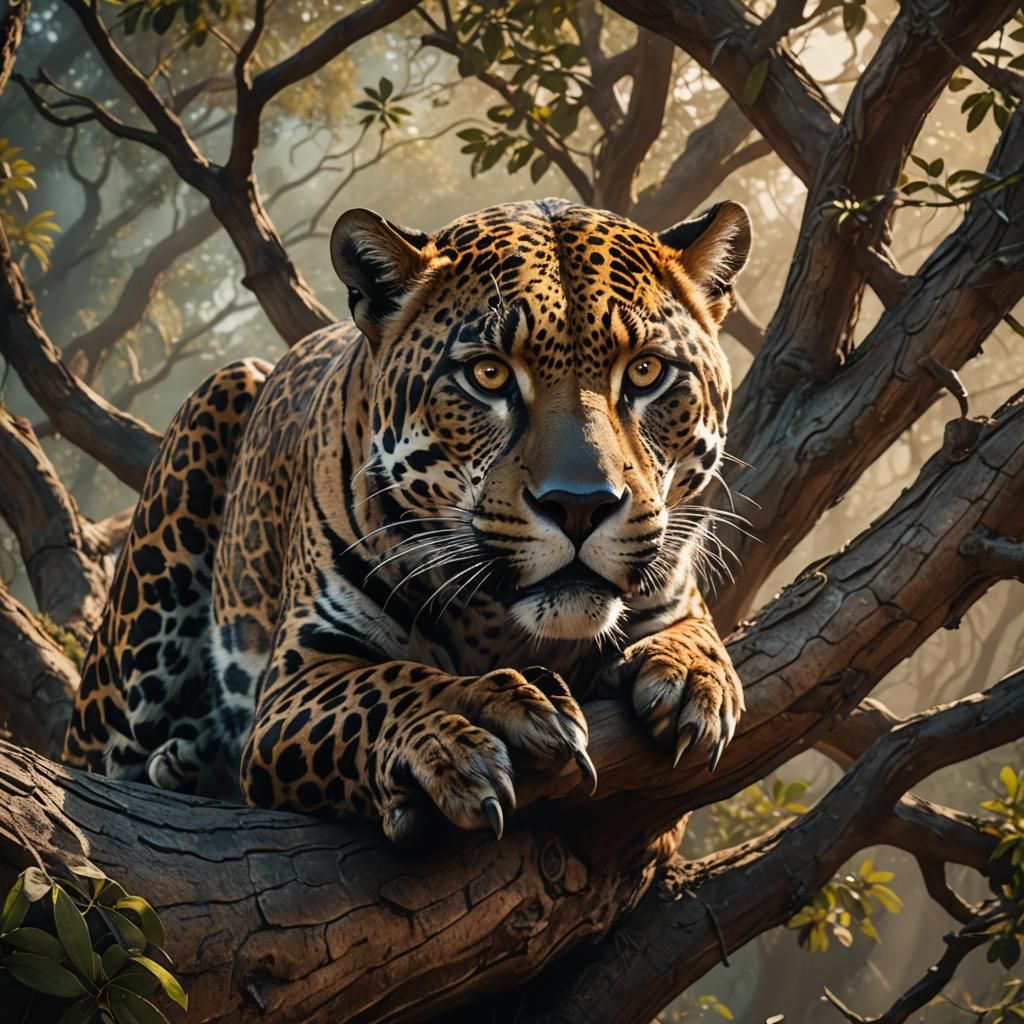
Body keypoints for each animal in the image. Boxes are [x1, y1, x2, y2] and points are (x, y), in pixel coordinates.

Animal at [63, 197, 750, 844]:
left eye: (646, 371)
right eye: (488, 375)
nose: (579, 504)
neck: (498, 620)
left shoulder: (676, 599)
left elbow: (696, 635)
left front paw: (693, 676)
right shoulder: (295, 681)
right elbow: (388, 683)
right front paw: (475, 715)